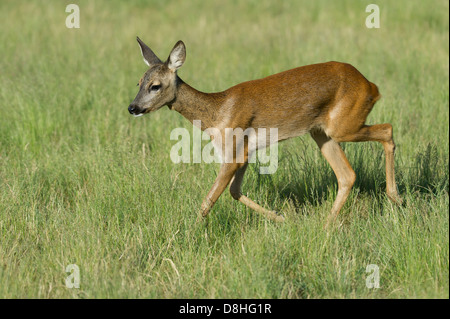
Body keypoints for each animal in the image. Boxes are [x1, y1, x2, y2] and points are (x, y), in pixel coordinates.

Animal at [128, 38, 402, 228]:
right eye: (138, 82)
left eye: (155, 85)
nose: (133, 107)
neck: (216, 112)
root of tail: (371, 86)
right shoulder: (245, 154)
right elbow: (234, 192)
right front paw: (281, 218)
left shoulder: (233, 153)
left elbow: (209, 200)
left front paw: (188, 233)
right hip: (321, 133)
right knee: (347, 175)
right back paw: (326, 227)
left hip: (344, 126)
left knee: (387, 130)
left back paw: (395, 198)